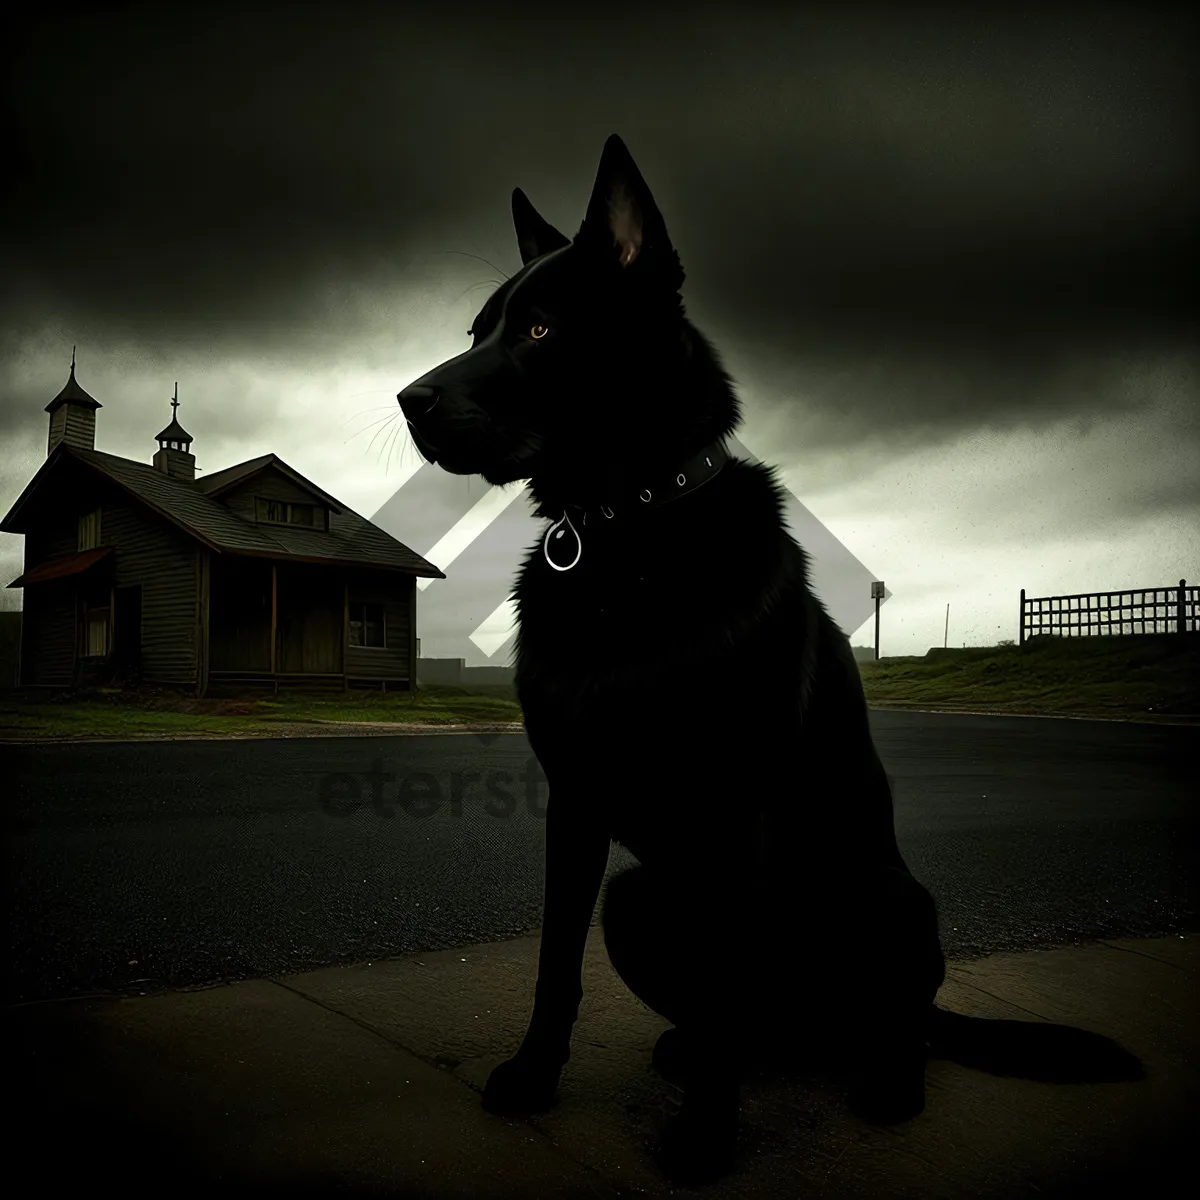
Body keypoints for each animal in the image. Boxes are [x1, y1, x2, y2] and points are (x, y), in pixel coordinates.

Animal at [400, 136, 1142, 1185]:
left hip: (895, 908)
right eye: (479, 330)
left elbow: (720, 983)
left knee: (895, 1025)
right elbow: (555, 966)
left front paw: (708, 1138)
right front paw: (537, 1077)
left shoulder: (734, 811)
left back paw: (886, 1081)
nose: (407, 400)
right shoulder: (575, 805)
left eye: (541, 328)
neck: (627, 533)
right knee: (761, 1025)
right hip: (638, 898)